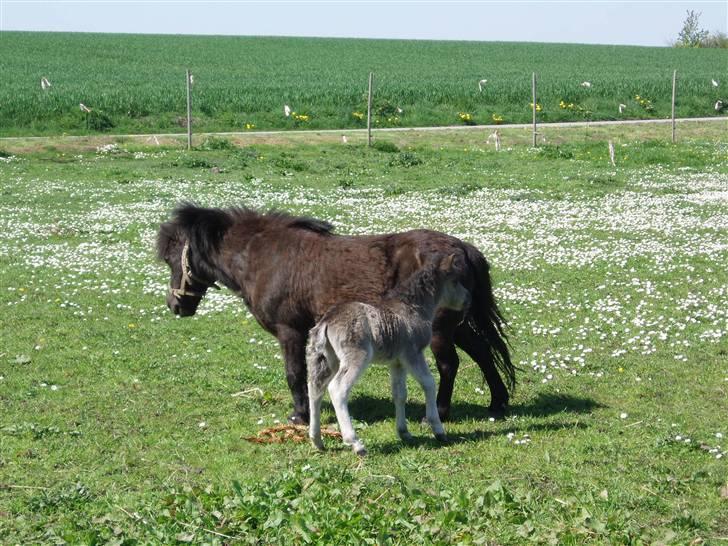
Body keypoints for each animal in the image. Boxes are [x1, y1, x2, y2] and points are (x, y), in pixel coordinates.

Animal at [159, 204, 512, 420]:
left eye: (172, 258)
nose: (175, 305)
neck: (264, 257)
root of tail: (462, 247)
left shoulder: (290, 331)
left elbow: (294, 373)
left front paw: (300, 416)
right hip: (457, 325)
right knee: (483, 353)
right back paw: (497, 402)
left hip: (440, 330)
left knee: (449, 365)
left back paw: (439, 411)